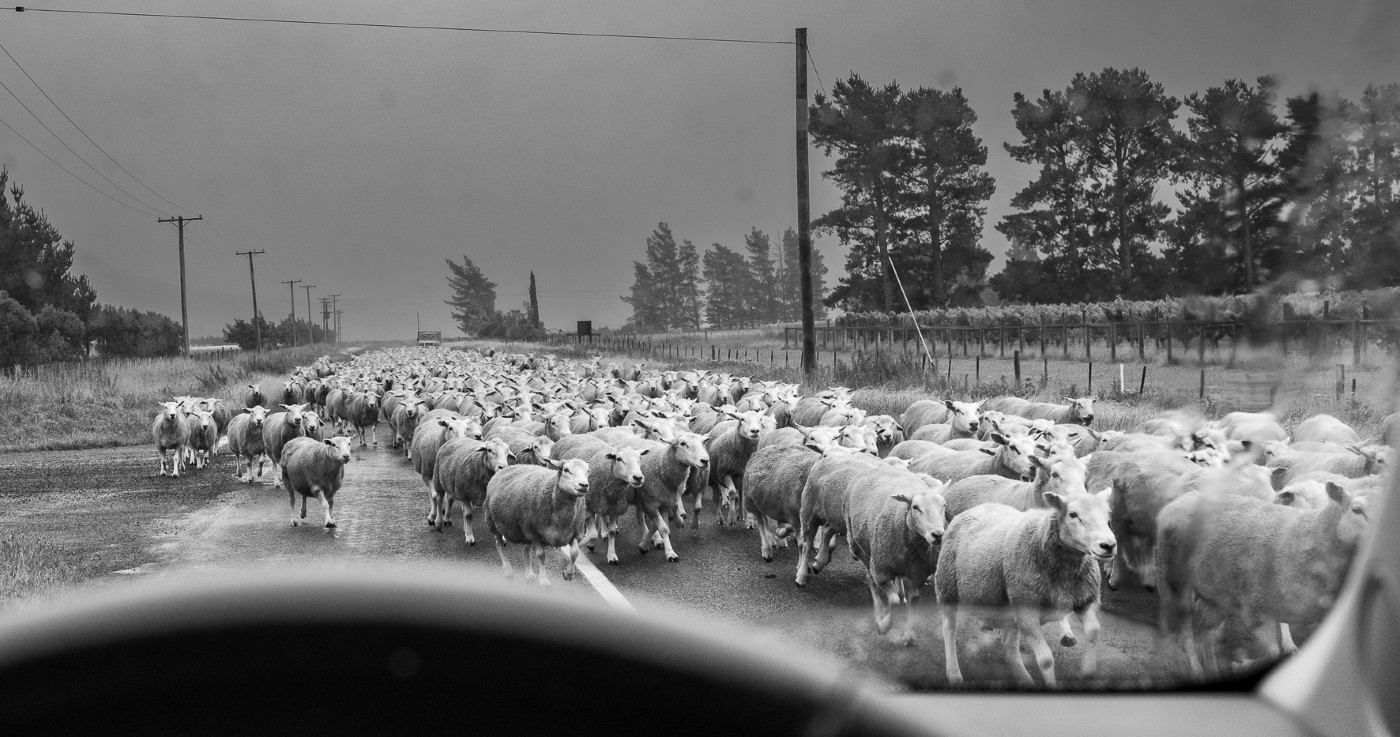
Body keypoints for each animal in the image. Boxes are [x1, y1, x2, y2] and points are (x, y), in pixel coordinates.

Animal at [935, 487, 1120, 689]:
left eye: (1108, 515)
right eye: (1073, 514)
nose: (1108, 545)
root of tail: (972, 509)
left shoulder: (1085, 599)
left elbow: (1094, 630)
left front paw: (1087, 670)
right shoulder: (1027, 612)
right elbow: (1046, 660)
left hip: (1008, 606)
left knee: (1008, 645)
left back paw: (1024, 678)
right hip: (947, 586)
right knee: (949, 629)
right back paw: (954, 673)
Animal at [1153, 481, 1372, 678]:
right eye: (1357, 510)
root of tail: (1183, 499)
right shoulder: (1256, 610)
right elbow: (1273, 653)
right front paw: (1241, 665)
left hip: (1217, 594)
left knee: (1204, 633)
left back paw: (1212, 671)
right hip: (1172, 578)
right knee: (1186, 632)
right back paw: (1195, 670)